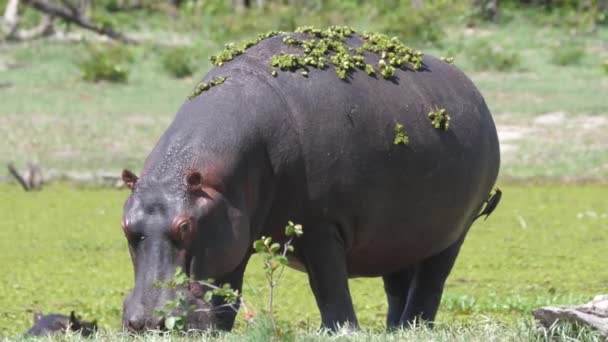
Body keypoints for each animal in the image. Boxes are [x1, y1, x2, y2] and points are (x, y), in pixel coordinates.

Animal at [121, 26, 502, 332]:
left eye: (185, 227)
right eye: (125, 227)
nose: (147, 323)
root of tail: (475, 92)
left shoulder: (320, 226)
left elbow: (329, 286)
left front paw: (341, 331)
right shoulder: (232, 229)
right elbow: (226, 289)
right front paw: (216, 330)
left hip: (454, 232)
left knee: (431, 282)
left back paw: (416, 325)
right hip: (398, 233)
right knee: (397, 281)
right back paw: (396, 329)